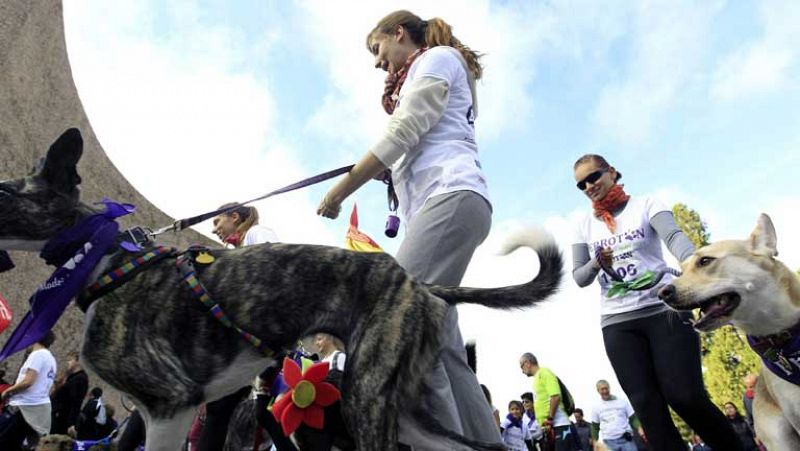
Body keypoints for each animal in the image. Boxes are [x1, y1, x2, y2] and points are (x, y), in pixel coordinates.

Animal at [0, 129, 564, 450]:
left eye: (3, 190)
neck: (101, 258)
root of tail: (417, 283)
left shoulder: (171, 405)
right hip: (401, 404)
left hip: (365, 398)